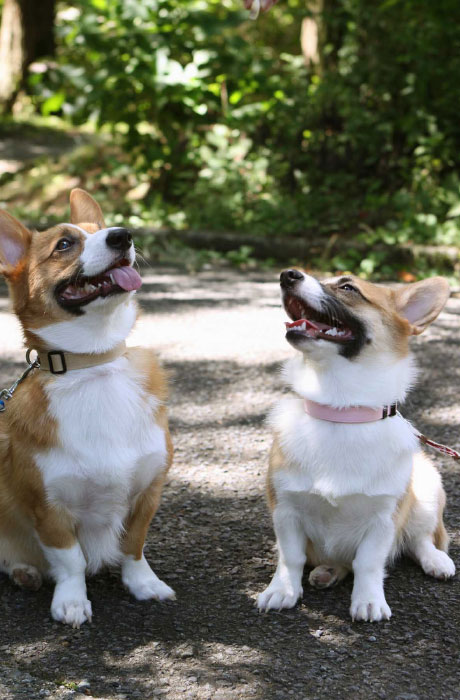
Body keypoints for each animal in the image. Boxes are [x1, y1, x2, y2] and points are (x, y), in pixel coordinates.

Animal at [0, 190, 175, 628]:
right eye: (64, 244)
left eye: (104, 229)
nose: (123, 235)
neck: (93, 365)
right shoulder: (48, 507)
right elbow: (71, 561)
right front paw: (72, 602)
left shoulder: (148, 492)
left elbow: (133, 546)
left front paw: (143, 584)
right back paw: (23, 570)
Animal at [258, 270, 456, 620]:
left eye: (348, 287)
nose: (288, 275)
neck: (341, 412)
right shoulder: (286, 510)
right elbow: (290, 558)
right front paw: (282, 591)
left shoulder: (383, 519)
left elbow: (368, 563)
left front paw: (369, 601)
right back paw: (327, 571)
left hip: (428, 488)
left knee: (419, 540)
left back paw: (437, 561)